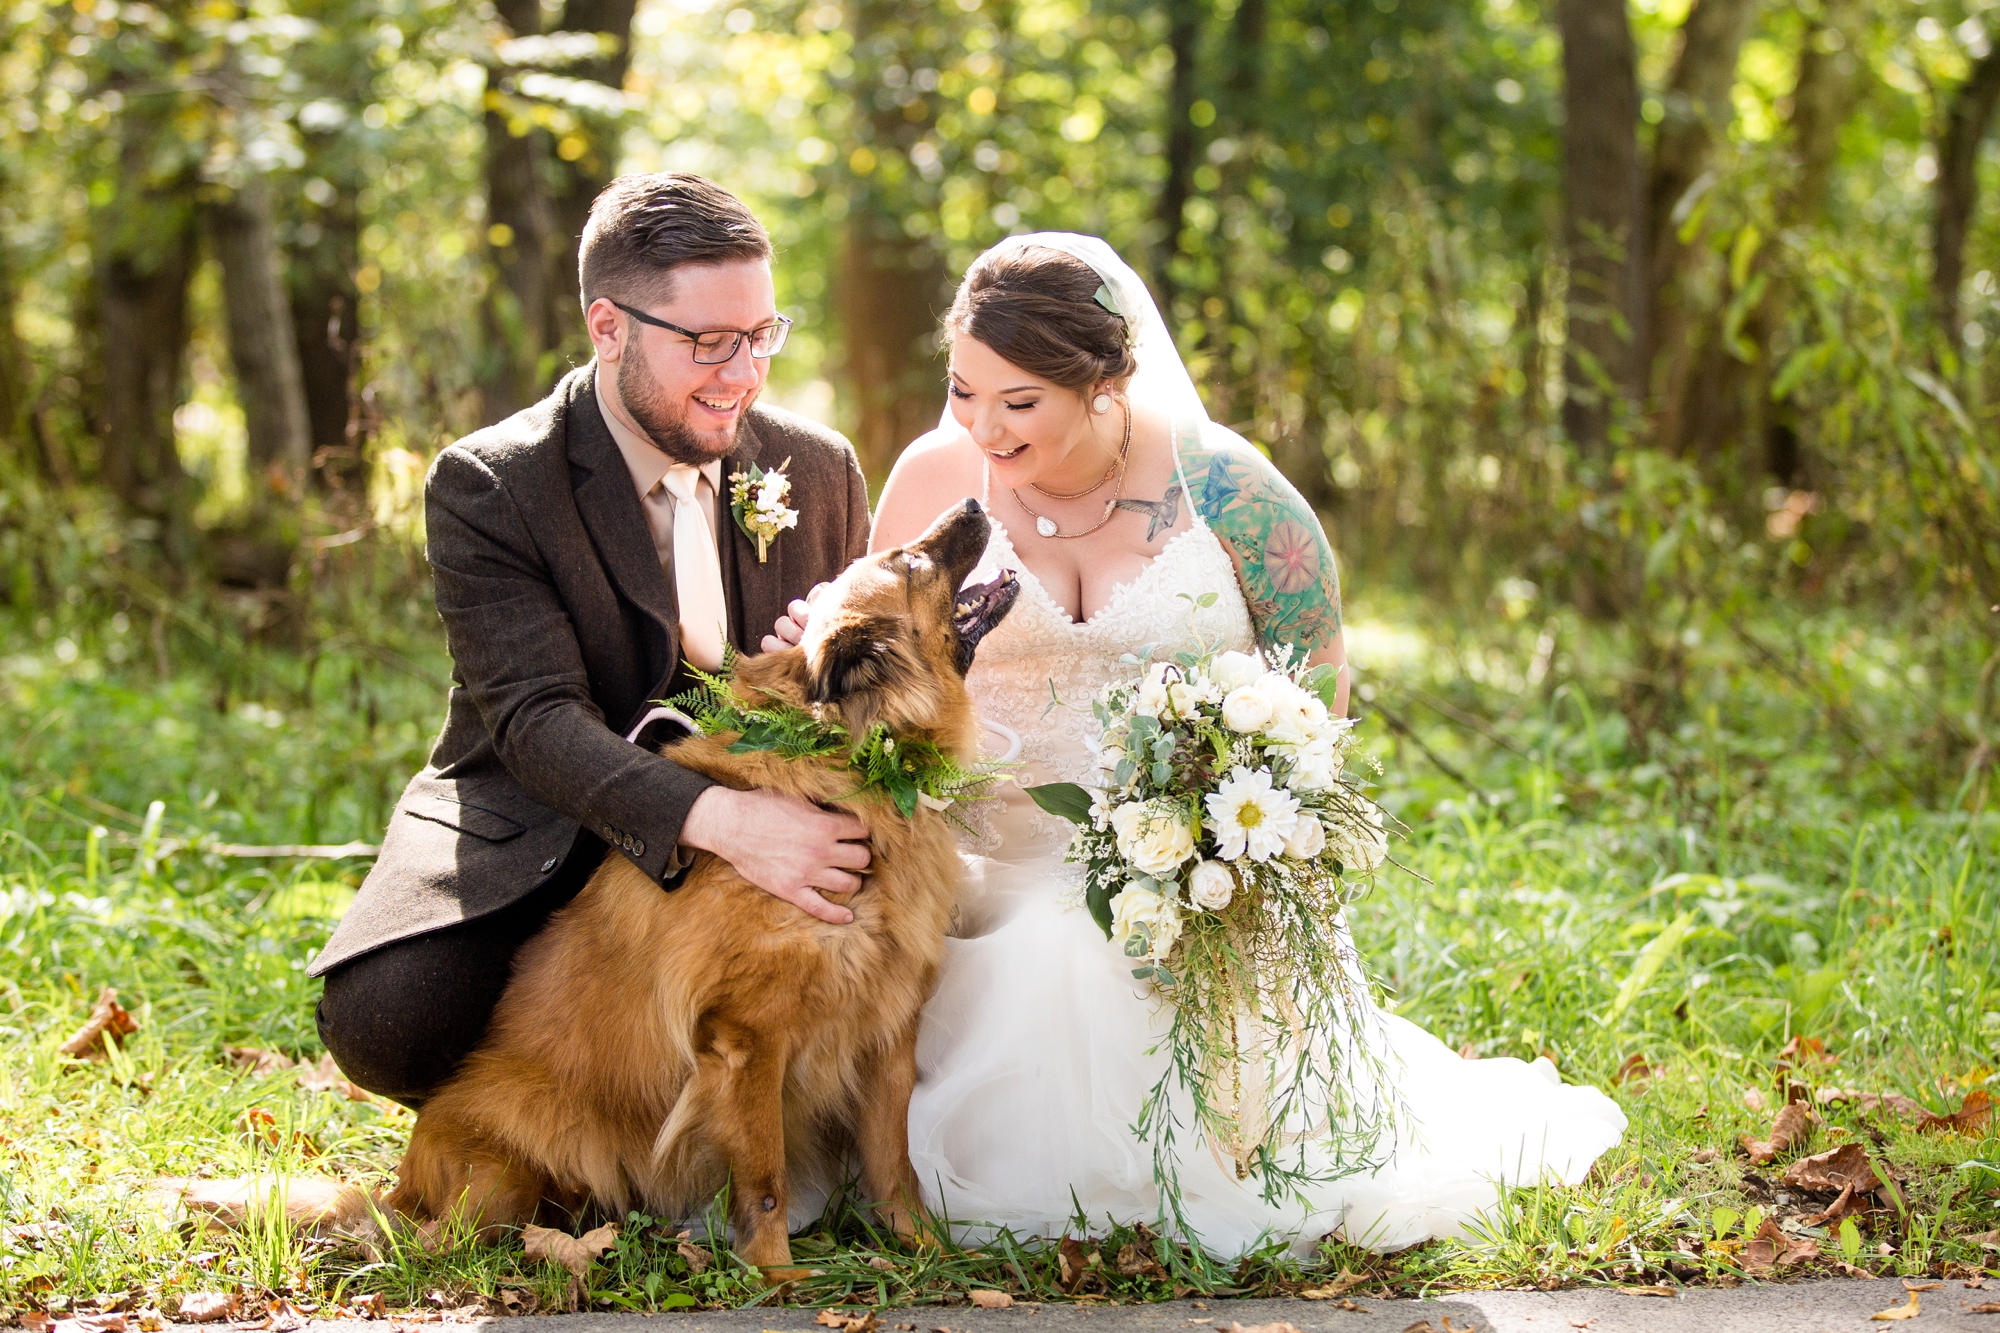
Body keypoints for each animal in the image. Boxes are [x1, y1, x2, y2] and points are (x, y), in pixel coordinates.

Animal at [384, 496, 1024, 1264]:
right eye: (909, 562)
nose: (975, 503)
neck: (850, 766)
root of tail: (402, 1186)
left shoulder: (888, 1019)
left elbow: (893, 1160)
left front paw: (923, 1251)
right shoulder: (746, 1035)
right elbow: (766, 1177)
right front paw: (777, 1273)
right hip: (509, 1167)